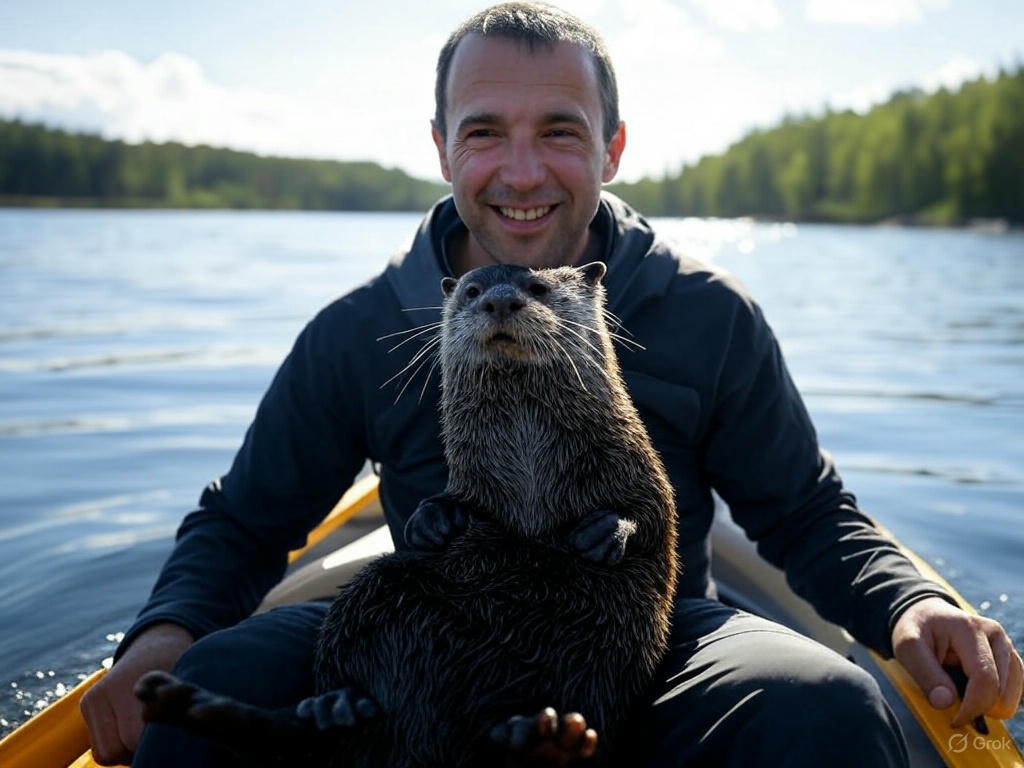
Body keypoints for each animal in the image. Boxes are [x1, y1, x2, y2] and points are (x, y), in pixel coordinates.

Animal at [136, 262, 678, 767]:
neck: (532, 492)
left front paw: (607, 533)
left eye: (539, 288)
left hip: (603, 657)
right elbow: (450, 503)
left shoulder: (639, 466)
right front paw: (432, 522)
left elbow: (654, 513)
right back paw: (335, 707)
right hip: (376, 591)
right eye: (472, 291)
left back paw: (543, 741)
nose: (500, 301)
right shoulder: (471, 483)